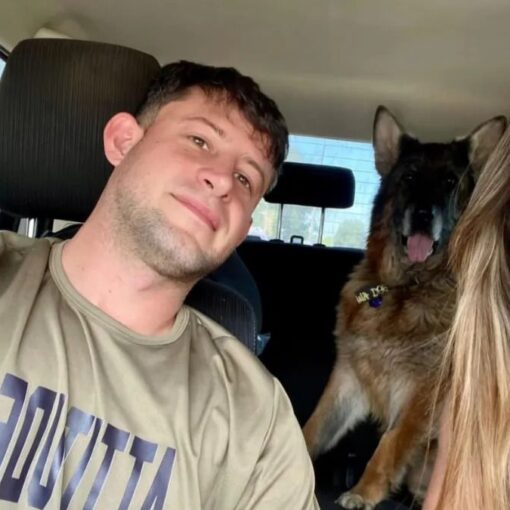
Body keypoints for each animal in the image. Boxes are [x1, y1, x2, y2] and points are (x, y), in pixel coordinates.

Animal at [302, 106, 507, 509]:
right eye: (410, 177)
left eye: (449, 182)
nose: (424, 214)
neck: (405, 288)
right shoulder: (348, 379)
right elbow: (316, 425)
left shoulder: (422, 396)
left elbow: (390, 443)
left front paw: (363, 492)